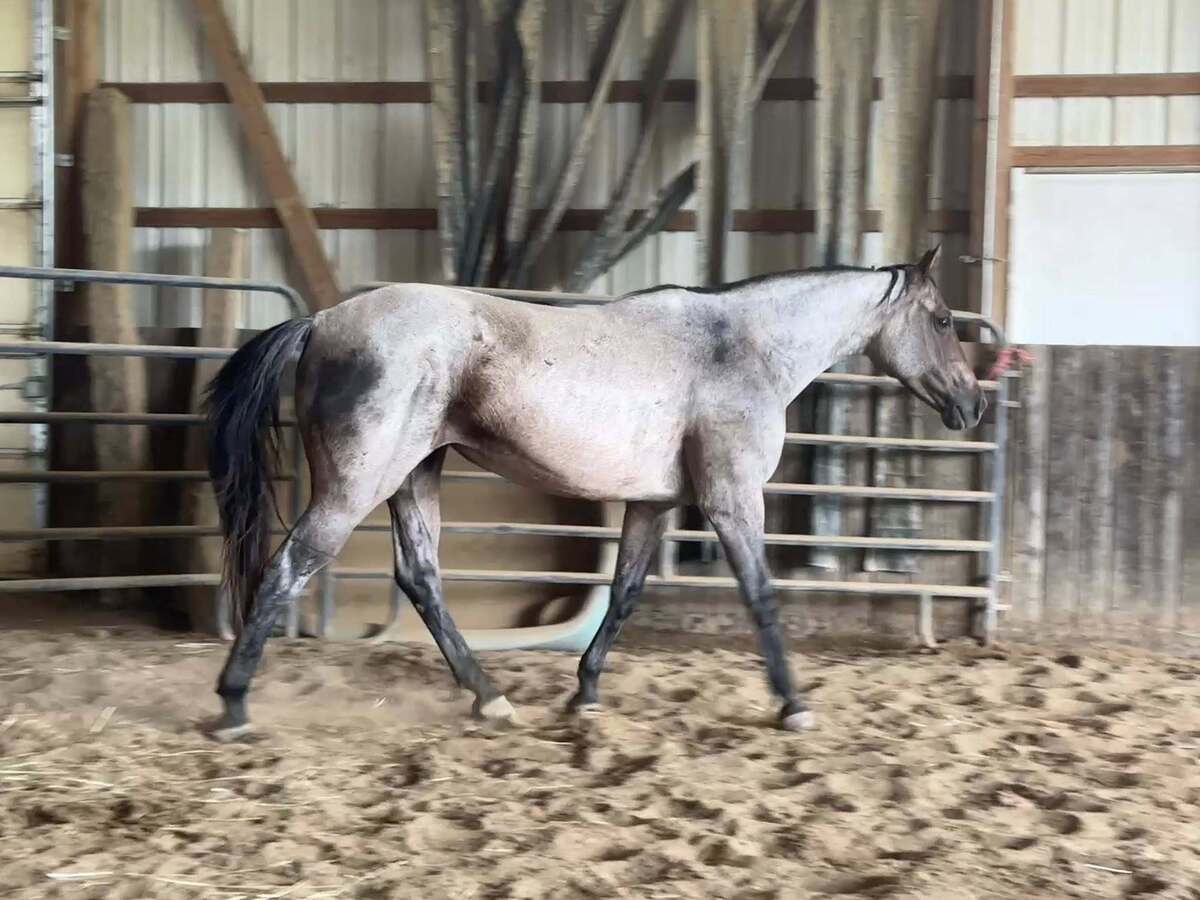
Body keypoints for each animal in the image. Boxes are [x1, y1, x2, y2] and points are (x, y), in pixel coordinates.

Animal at [203, 244, 985, 740]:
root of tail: (323, 322)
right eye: (945, 320)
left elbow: (627, 592)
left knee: (419, 577)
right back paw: (234, 706)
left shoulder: (653, 504)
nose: (973, 405)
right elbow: (761, 594)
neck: (741, 346)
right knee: (290, 565)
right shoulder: (732, 497)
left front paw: (585, 695)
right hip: (359, 482)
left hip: (412, 476)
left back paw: (491, 699)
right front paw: (794, 706)